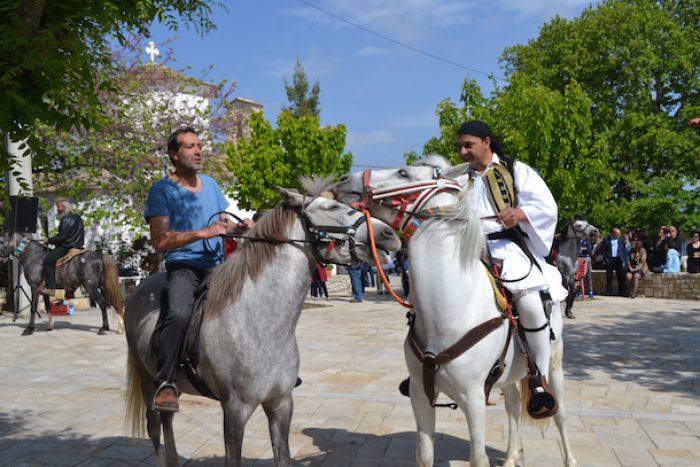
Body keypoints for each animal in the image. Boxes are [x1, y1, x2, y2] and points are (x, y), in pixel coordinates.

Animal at [123, 186, 402, 467]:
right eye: (332, 208)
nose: (390, 235)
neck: (258, 324)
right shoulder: (235, 410)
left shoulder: (281, 404)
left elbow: (283, 457)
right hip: (148, 380)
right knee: (154, 427)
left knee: (167, 421)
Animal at [336, 157, 576, 467]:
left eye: (403, 172)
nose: (343, 180)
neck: (449, 310)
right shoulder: (419, 395)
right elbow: (425, 456)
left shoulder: (473, 399)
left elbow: (479, 459)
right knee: (512, 405)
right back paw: (512, 457)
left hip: (554, 367)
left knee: (561, 414)